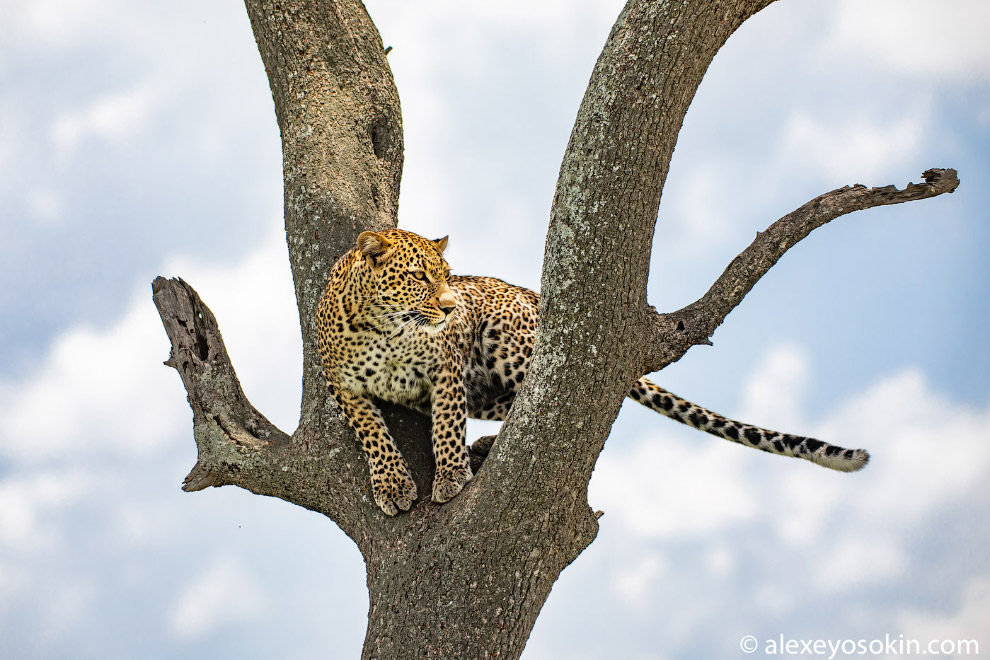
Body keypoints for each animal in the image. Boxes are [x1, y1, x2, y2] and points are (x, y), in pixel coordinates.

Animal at [316, 228, 868, 516]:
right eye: (418, 277)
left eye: (448, 277)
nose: (452, 308)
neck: (384, 328)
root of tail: (537, 296)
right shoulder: (341, 384)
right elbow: (373, 434)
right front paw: (392, 484)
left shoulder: (447, 367)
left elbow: (446, 425)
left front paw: (449, 475)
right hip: (489, 389)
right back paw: (487, 445)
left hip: (508, 342)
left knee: (559, 397)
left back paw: (484, 447)